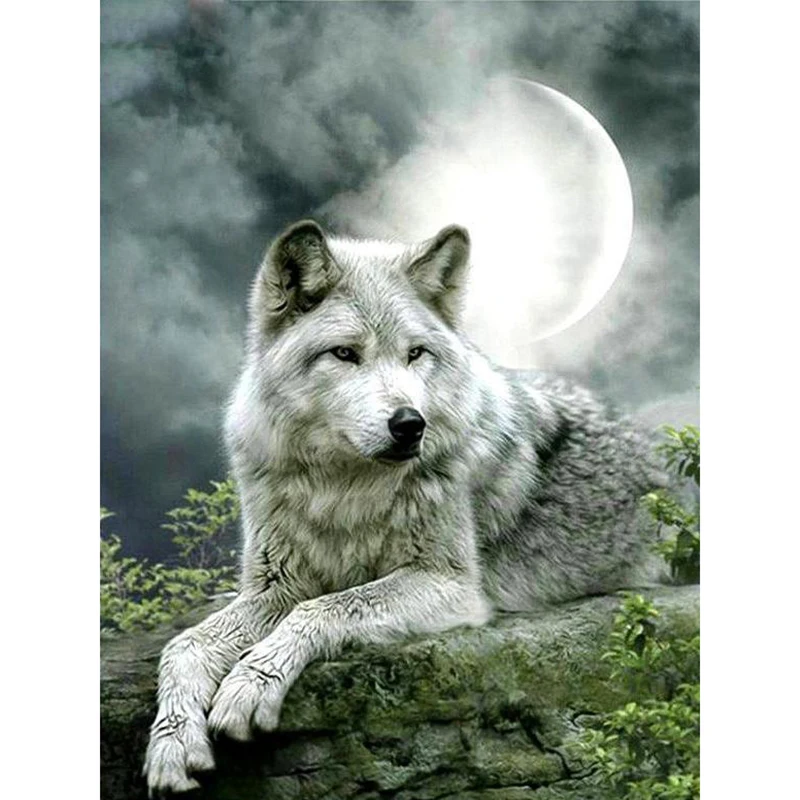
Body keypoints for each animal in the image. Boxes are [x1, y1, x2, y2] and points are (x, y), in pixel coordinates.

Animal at [144, 220, 667, 794]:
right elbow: (183, 646)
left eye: (415, 353)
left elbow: (324, 609)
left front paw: (249, 684)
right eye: (345, 354)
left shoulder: (450, 585)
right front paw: (172, 744)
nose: (411, 424)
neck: (343, 489)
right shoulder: (275, 587)